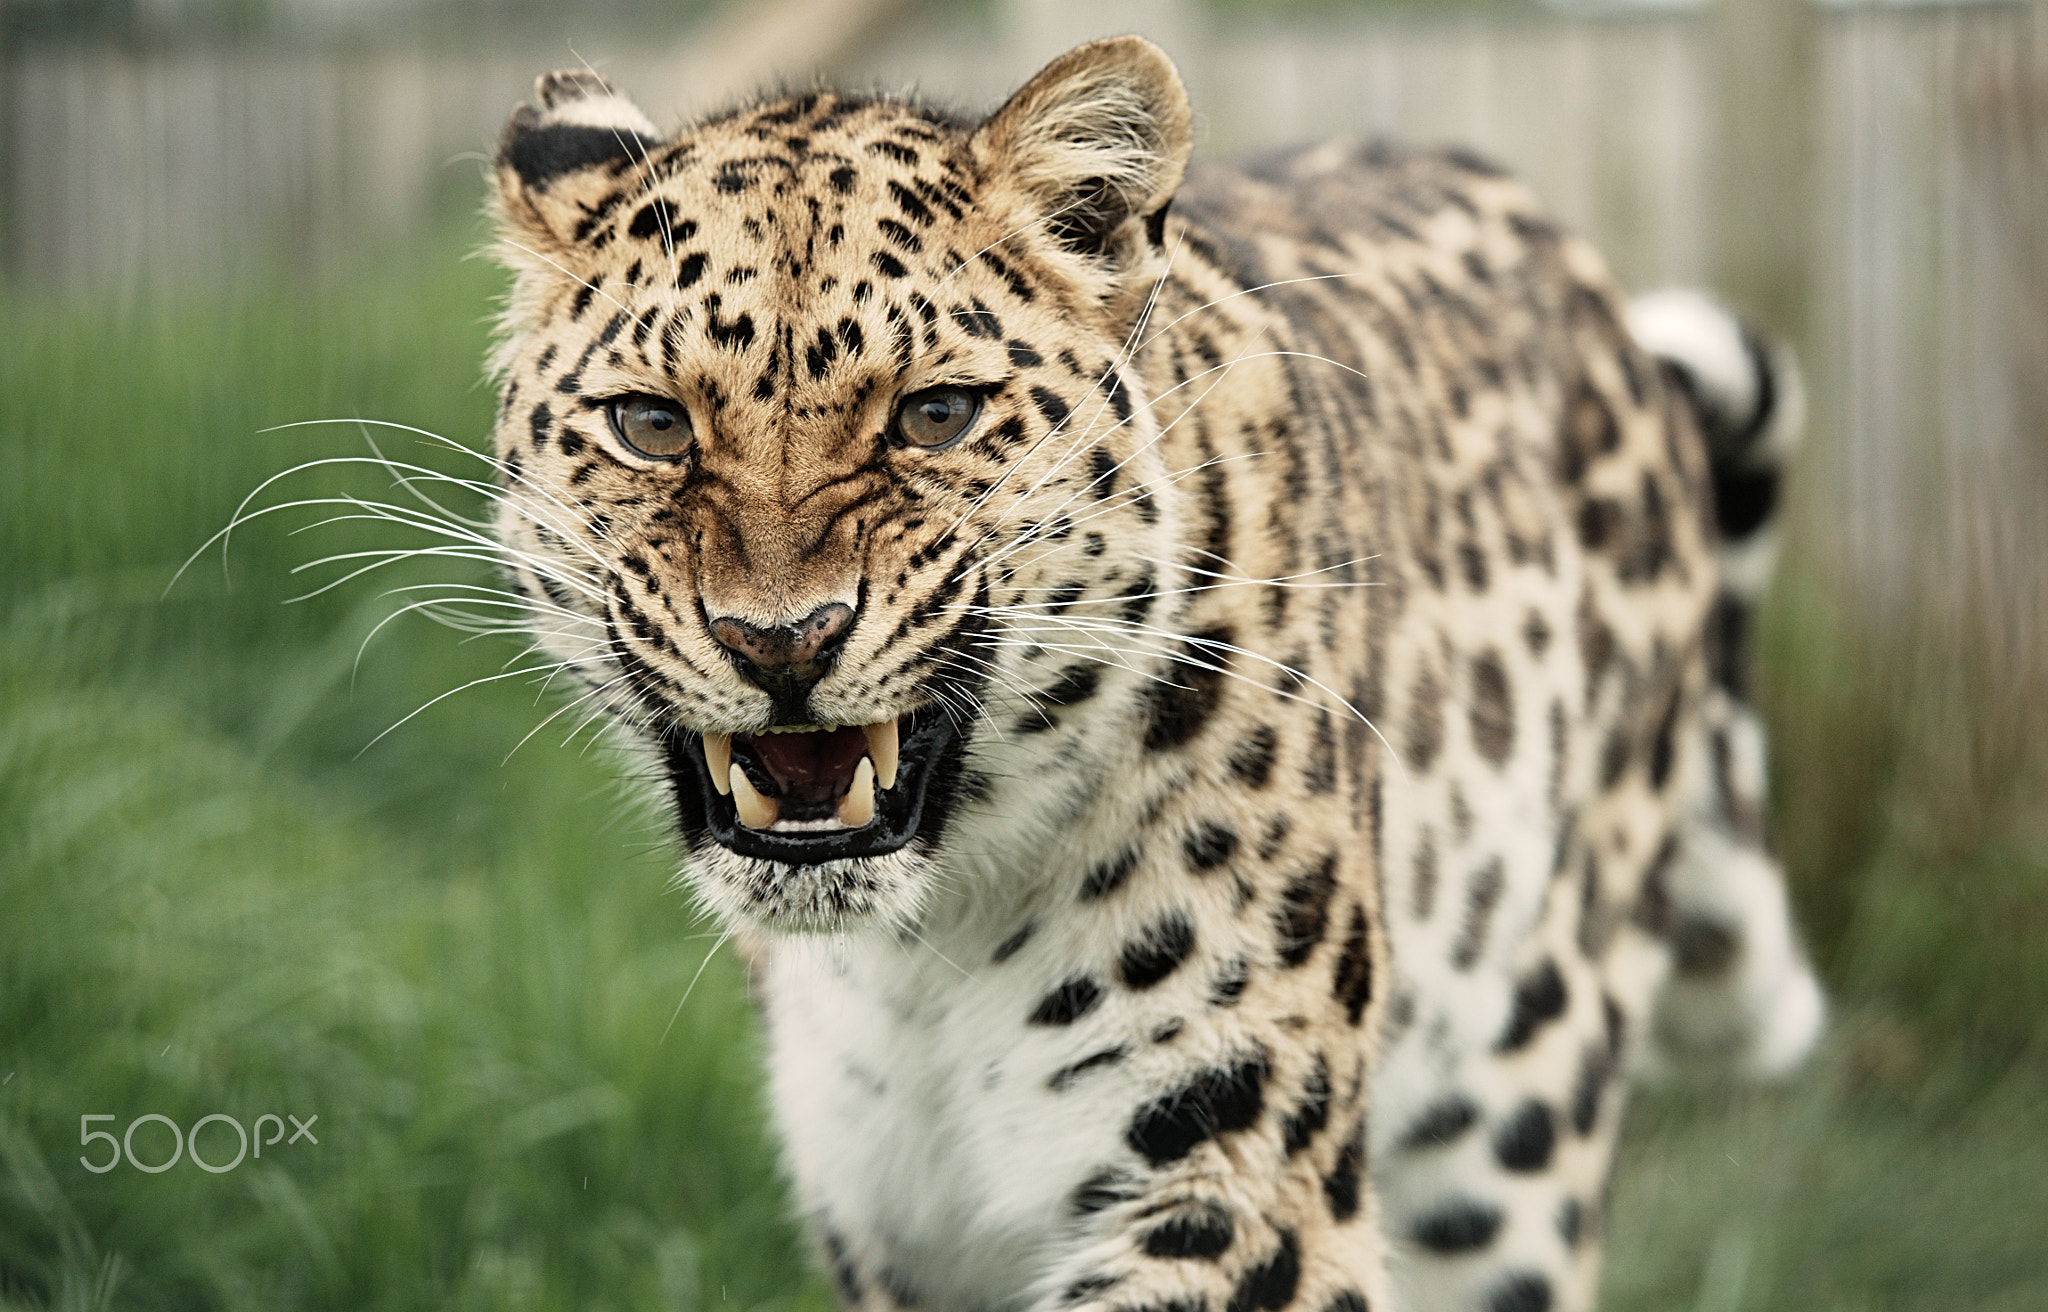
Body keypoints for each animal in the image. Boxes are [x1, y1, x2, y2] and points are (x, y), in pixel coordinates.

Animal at [479, 33, 1826, 1309]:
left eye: (934, 416)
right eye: (652, 424)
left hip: (1513, 1133)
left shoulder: (1232, 1180)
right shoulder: (888, 1229)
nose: (781, 638)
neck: (922, 949)